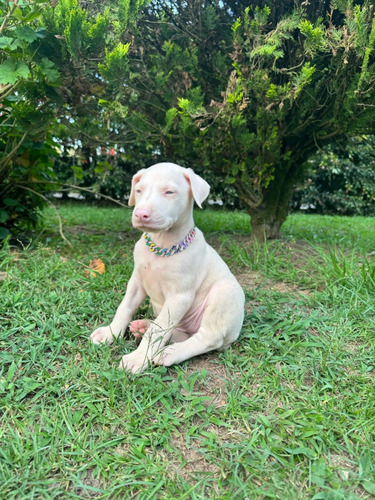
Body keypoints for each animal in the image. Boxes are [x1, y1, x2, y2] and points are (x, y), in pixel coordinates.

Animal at [89, 162, 245, 374]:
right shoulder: (136, 282)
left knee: (208, 337)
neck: (161, 247)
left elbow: (158, 330)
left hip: (225, 294)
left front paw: (138, 358)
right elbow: (125, 308)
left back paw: (169, 352)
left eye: (169, 192)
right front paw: (110, 333)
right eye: (138, 190)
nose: (140, 214)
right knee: (174, 332)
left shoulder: (179, 296)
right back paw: (143, 327)